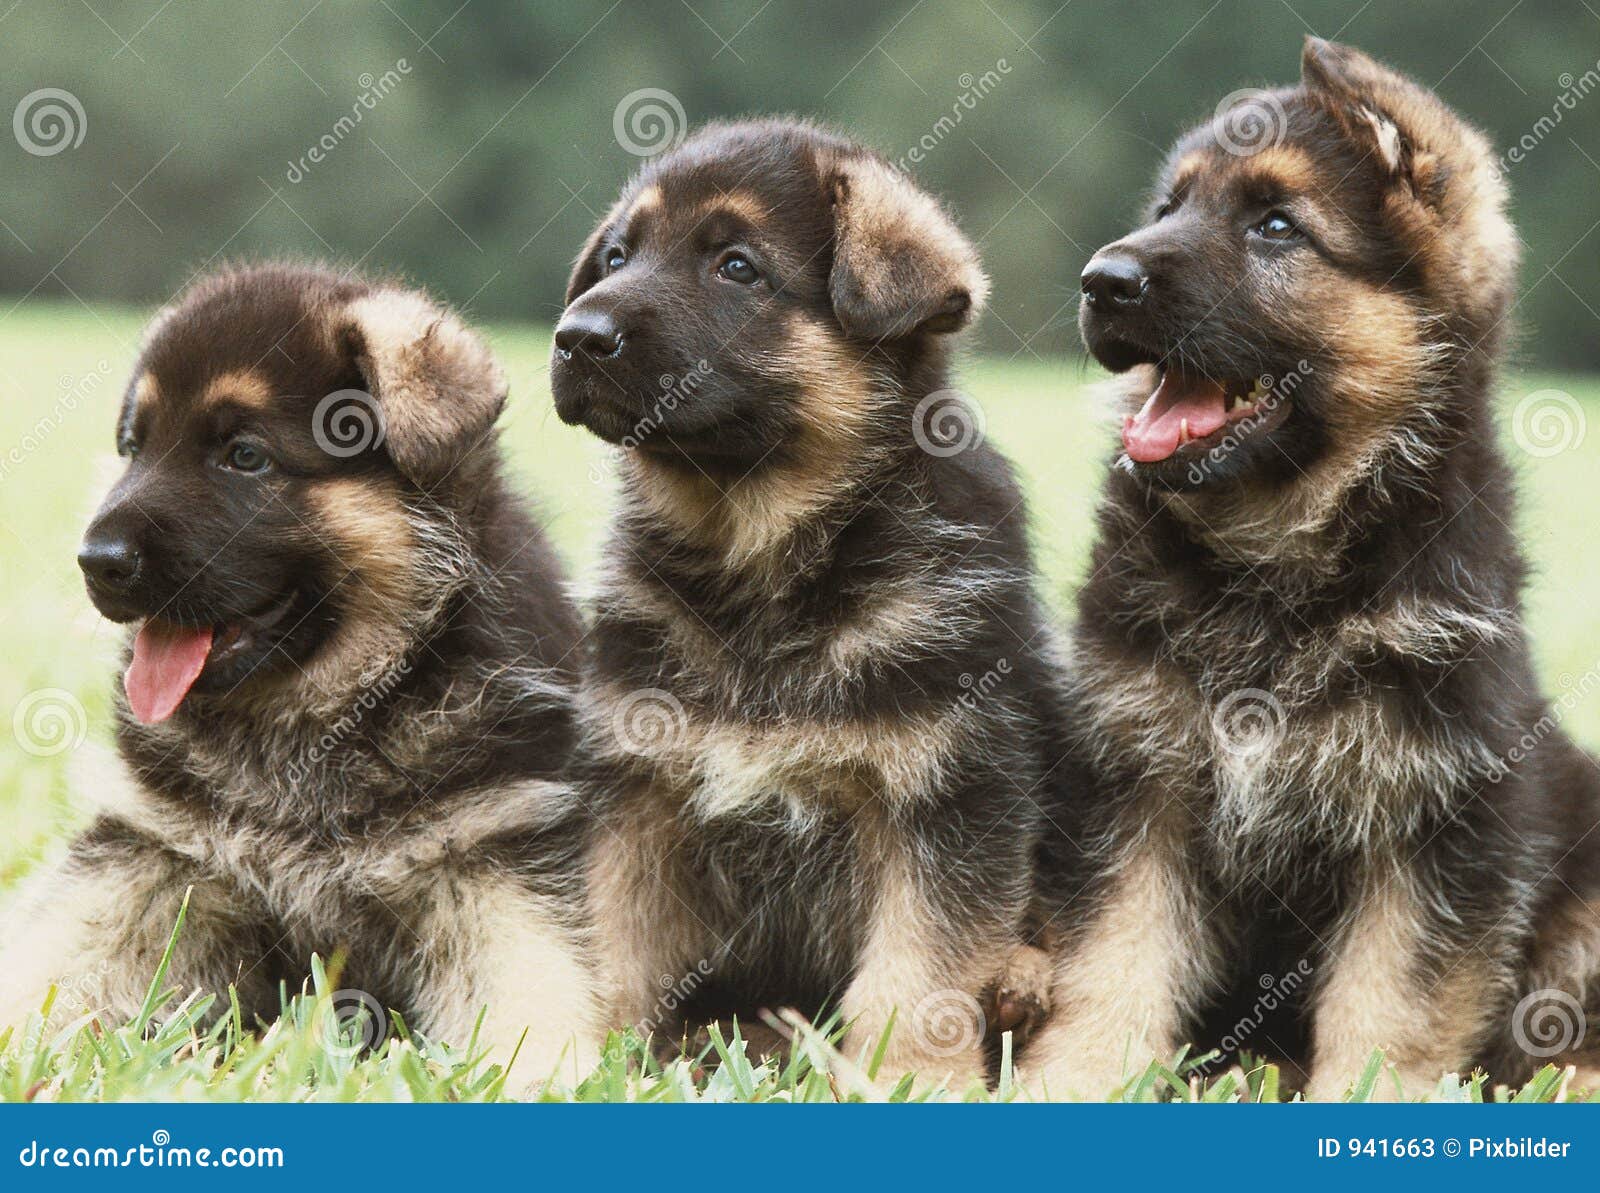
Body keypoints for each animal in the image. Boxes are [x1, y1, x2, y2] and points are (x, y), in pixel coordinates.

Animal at [0, 262, 601, 1087]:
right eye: (134, 446)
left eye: (245, 455)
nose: (97, 561)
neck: (315, 715)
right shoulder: (148, 850)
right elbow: (50, 959)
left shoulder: (490, 853)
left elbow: (534, 985)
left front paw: (545, 1075)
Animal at [550, 120, 1062, 1087]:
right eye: (617, 256)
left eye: (738, 267)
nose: (575, 335)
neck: (760, 558)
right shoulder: (634, 788)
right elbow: (614, 944)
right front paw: (590, 1063)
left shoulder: (947, 790)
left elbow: (917, 973)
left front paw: (915, 1082)